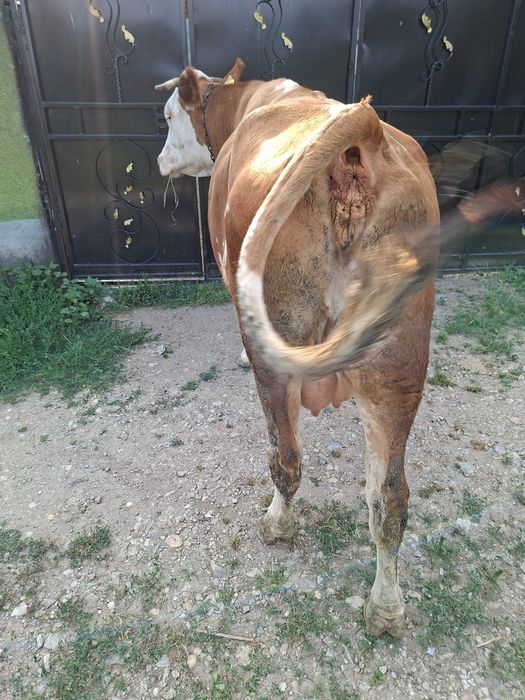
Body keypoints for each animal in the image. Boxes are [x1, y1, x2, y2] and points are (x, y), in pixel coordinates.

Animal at [154, 58, 444, 637]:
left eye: (170, 115)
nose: (158, 161)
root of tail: (364, 129)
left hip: (280, 348)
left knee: (286, 457)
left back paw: (276, 524)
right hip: (399, 366)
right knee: (391, 497)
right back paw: (385, 607)